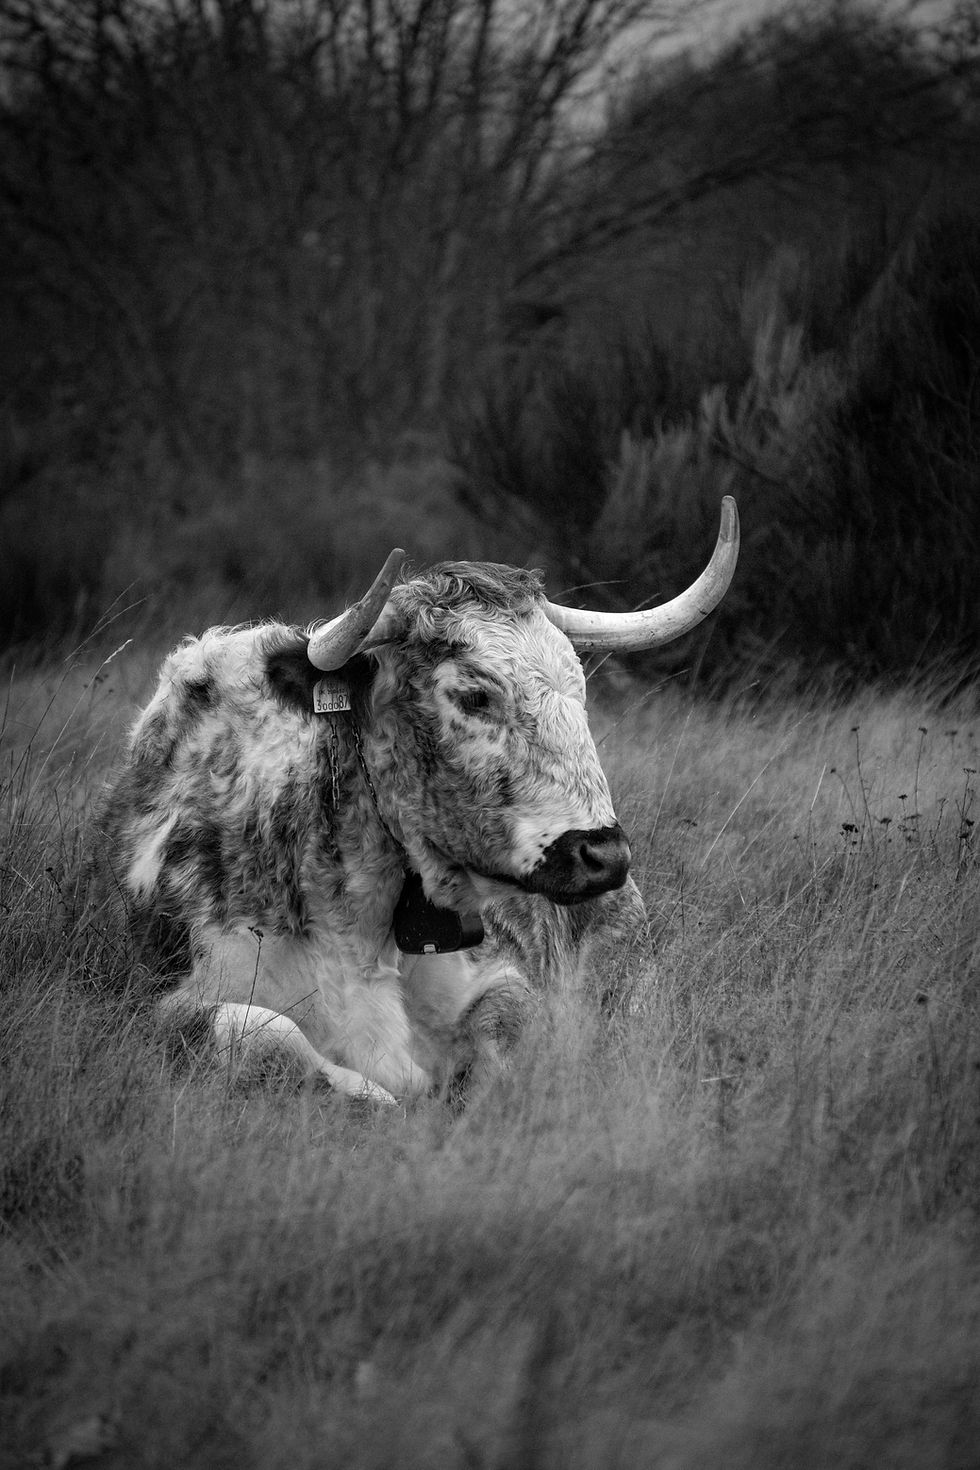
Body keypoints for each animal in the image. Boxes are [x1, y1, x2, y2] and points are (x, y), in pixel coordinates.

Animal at [99, 498, 738, 1104]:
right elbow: (259, 1033)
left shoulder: (505, 976)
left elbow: (505, 1036)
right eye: (475, 695)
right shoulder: (164, 1000)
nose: (604, 855)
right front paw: (378, 1100)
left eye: (580, 689)